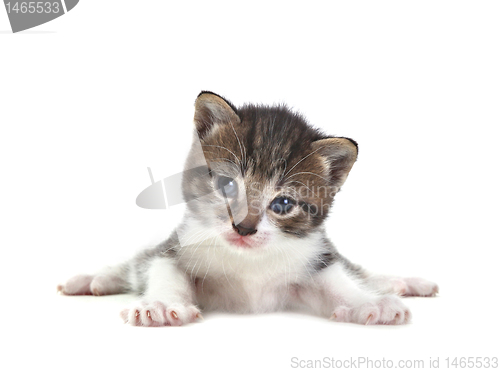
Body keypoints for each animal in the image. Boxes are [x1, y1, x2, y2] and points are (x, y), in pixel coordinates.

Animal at [57, 91, 438, 326]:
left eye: (282, 203)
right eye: (227, 186)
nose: (243, 227)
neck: (247, 264)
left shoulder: (313, 256)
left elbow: (339, 280)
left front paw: (370, 303)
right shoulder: (176, 245)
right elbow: (162, 268)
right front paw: (161, 305)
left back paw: (399, 282)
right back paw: (95, 278)